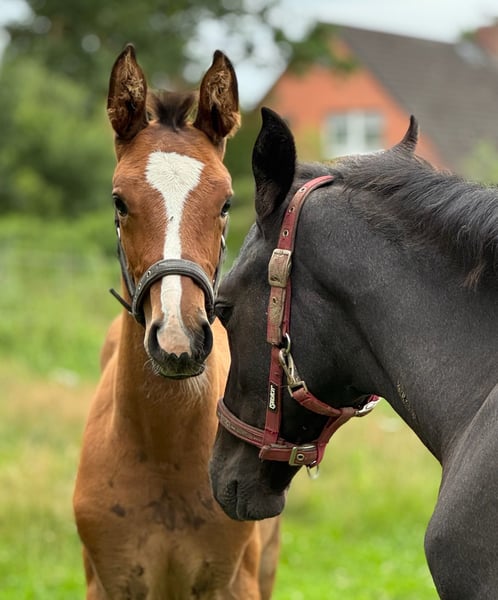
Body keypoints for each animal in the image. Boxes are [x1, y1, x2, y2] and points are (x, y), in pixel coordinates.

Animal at [73, 46, 280, 600]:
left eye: (227, 202)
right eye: (119, 201)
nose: (177, 339)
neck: (164, 455)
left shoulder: (234, 583)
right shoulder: (108, 582)